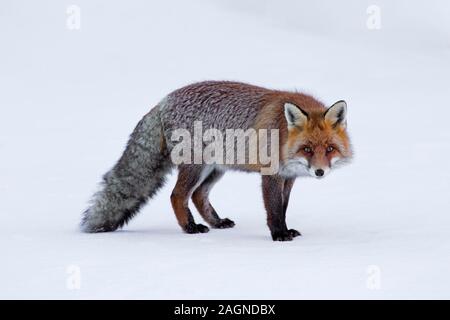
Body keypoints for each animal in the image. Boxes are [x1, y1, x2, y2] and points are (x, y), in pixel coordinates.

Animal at [82, 81, 354, 241]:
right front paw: (278, 234)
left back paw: (216, 222)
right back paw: (190, 228)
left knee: (198, 195)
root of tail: (163, 100)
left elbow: (283, 207)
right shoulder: (271, 174)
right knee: (177, 196)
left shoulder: (289, 178)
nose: (319, 172)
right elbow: (274, 209)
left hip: (215, 170)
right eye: (307, 149)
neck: (282, 134)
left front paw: (286, 230)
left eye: (329, 149)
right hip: (196, 167)